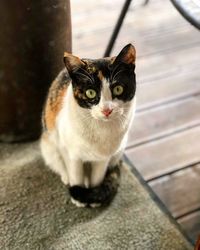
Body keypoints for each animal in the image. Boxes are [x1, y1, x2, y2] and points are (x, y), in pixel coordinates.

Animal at [39, 44, 137, 208]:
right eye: (90, 92)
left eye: (118, 89)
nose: (106, 110)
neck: (101, 130)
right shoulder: (71, 153)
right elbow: (76, 174)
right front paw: (78, 196)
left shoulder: (103, 159)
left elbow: (97, 178)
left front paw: (93, 196)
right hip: (49, 145)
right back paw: (66, 177)